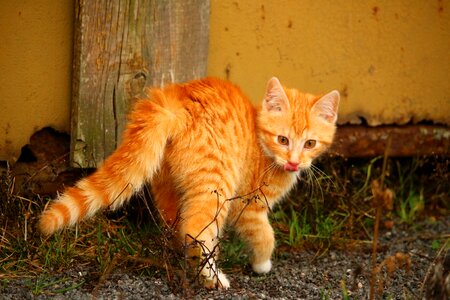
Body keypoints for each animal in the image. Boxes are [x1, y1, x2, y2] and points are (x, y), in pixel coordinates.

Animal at [38, 77, 340, 288]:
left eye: (310, 144)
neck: (261, 146)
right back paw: (214, 279)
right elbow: (265, 235)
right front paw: (262, 264)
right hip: (217, 184)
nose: (294, 162)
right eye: (283, 139)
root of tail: (177, 100)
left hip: (168, 186)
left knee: (178, 228)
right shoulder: (248, 206)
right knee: (195, 229)